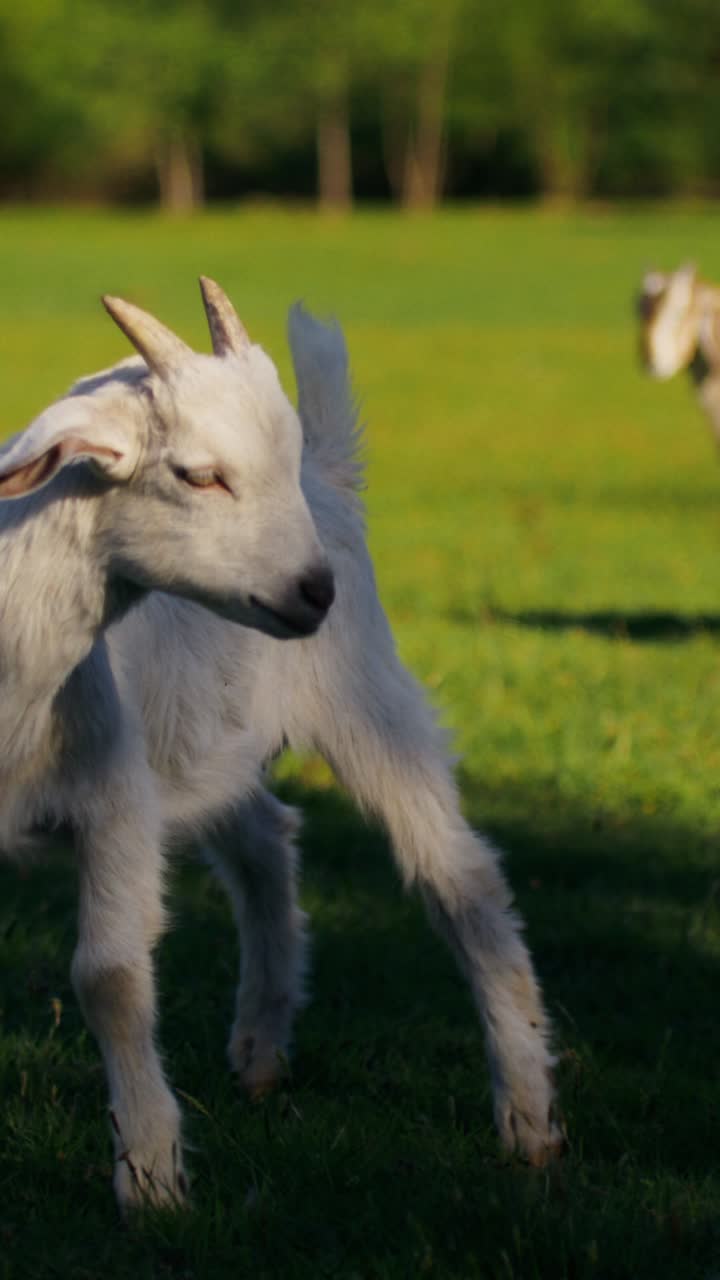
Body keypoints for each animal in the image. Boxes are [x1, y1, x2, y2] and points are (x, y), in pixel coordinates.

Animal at [0, 280, 561, 1209]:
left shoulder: (116, 802)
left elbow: (110, 977)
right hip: (204, 742)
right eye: (197, 473)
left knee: (461, 878)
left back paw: (528, 1117)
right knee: (267, 839)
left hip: (369, 700)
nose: (313, 590)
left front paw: (150, 1176)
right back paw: (261, 1051)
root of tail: (329, 479)